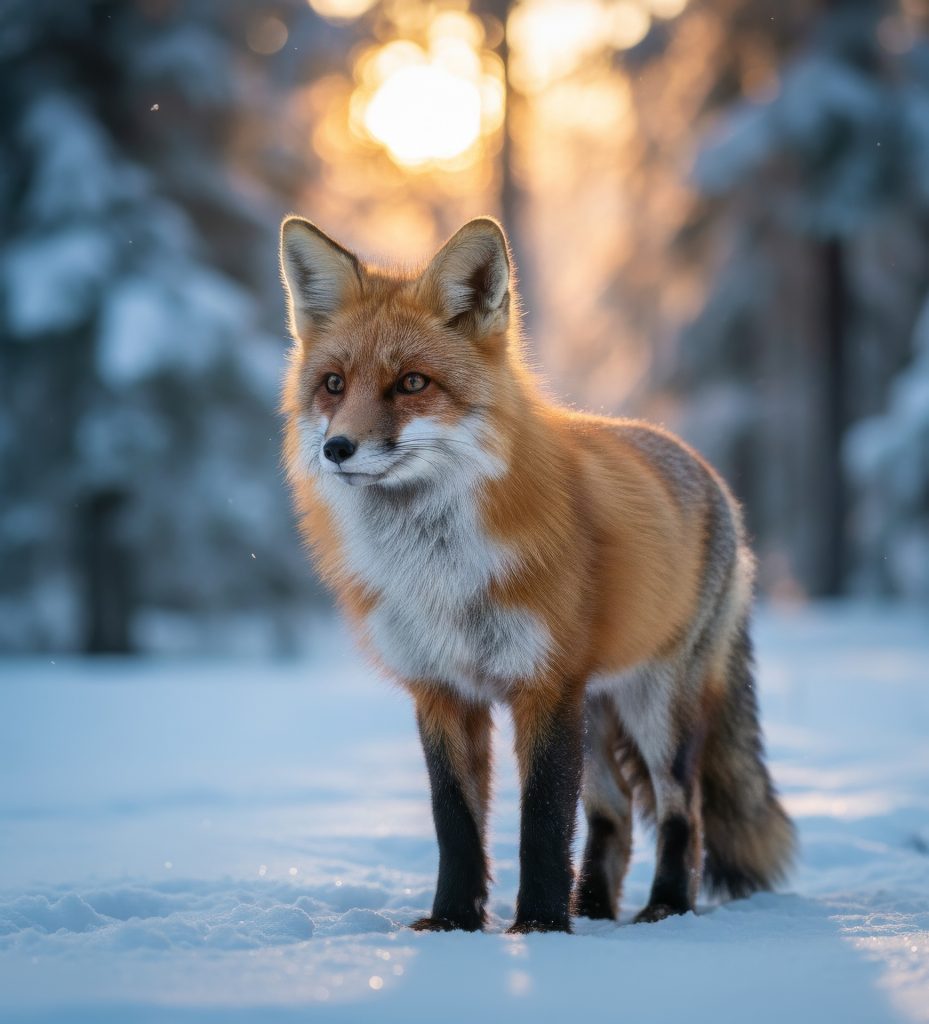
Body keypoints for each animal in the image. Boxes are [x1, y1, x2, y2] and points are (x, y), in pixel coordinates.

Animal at [279, 215, 795, 934]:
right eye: (332, 384)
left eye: (411, 383)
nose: (336, 448)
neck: (439, 572)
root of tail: (711, 478)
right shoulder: (442, 690)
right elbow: (456, 823)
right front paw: (453, 924)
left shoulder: (544, 686)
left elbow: (542, 824)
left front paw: (541, 928)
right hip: (596, 709)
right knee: (613, 815)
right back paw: (595, 909)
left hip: (654, 707)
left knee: (679, 811)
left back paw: (664, 907)